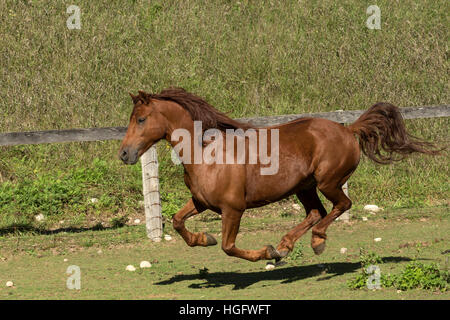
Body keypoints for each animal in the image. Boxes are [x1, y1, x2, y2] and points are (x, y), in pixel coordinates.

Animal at [119, 88, 440, 262]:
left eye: (141, 119)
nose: (124, 154)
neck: (206, 154)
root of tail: (348, 130)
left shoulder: (233, 209)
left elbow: (228, 247)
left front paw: (268, 252)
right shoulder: (201, 202)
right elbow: (176, 221)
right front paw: (203, 238)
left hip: (328, 181)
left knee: (341, 206)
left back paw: (315, 242)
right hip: (304, 187)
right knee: (315, 213)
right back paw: (288, 244)